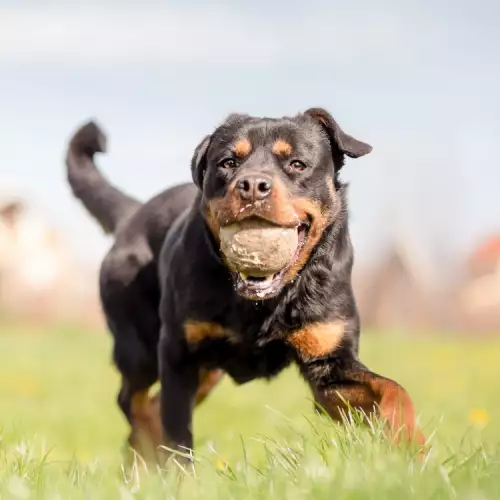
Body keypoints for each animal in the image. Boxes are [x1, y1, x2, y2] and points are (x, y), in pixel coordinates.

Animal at [65, 107, 426, 462]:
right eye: (228, 163)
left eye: (297, 164)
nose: (252, 184)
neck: (262, 302)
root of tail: (133, 213)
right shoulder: (177, 352)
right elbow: (178, 437)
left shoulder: (329, 363)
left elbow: (394, 391)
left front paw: (413, 446)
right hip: (140, 347)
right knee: (133, 400)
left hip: (206, 372)